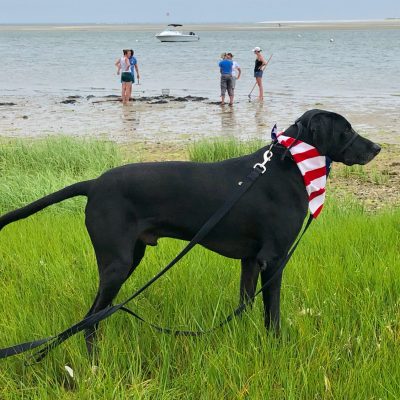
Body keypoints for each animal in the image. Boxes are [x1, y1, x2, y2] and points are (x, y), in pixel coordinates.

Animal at [0, 108, 382, 354]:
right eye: (347, 130)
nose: (377, 147)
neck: (288, 165)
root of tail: (94, 184)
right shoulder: (274, 260)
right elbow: (271, 313)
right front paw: (277, 346)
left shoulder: (250, 260)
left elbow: (244, 303)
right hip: (117, 264)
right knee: (90, 318)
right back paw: (93, 360)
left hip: (130, 257)